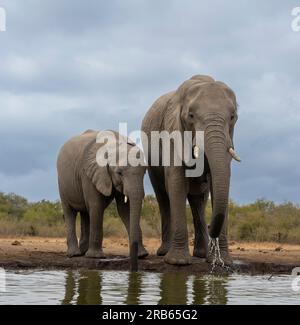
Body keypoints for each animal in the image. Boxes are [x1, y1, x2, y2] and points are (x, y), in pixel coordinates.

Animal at [56, 128, 148, 270]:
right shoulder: (88, 173)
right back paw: (75, 254)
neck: (114, 145)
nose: (134, 269)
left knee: (85, 212)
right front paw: (95, 257)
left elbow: (124, 209)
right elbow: (96, 205)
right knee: (70, 212)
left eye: (144, 172)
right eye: (119, 173)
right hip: (63, 182)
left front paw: (142, 255)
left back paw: (83, 252)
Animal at [142, 74, 240, 264]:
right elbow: (177, 182)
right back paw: (164, 253)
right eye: (191, 116)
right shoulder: (172, 131)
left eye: (233, 117)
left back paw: (201, 254)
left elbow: (218, 183)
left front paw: (222, 262)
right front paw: (178, 262)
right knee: (163, 198)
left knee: (198, 199)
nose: (211, 227)